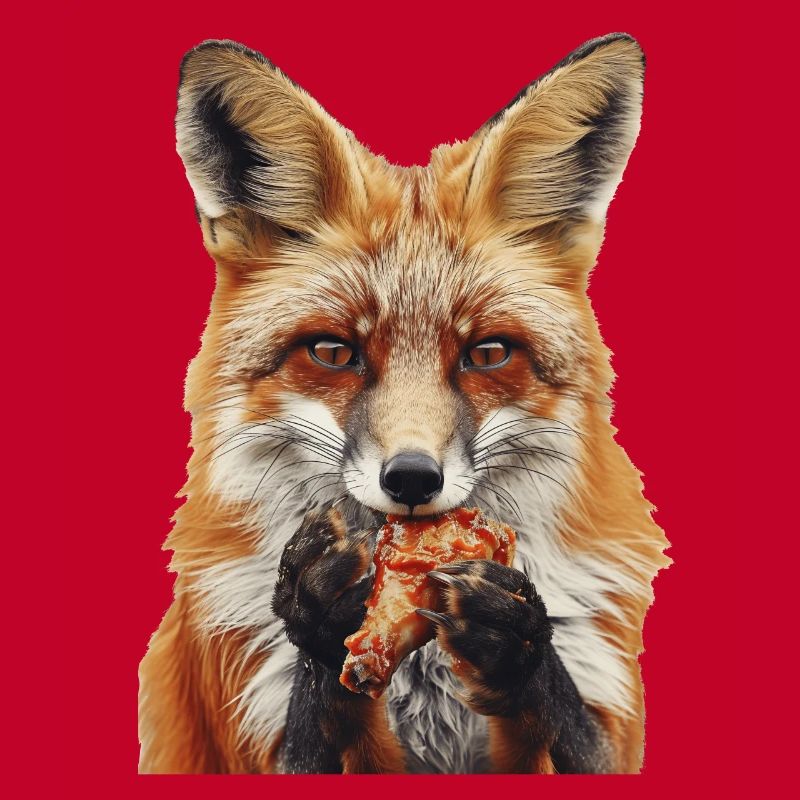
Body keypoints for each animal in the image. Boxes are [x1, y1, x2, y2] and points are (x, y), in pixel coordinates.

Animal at [138, 33, 670, 774]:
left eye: (488, 353)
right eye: (333, 353)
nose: (413, 479)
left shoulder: (606, 734)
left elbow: (561, 715)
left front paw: (519, 645)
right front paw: (317, 612)